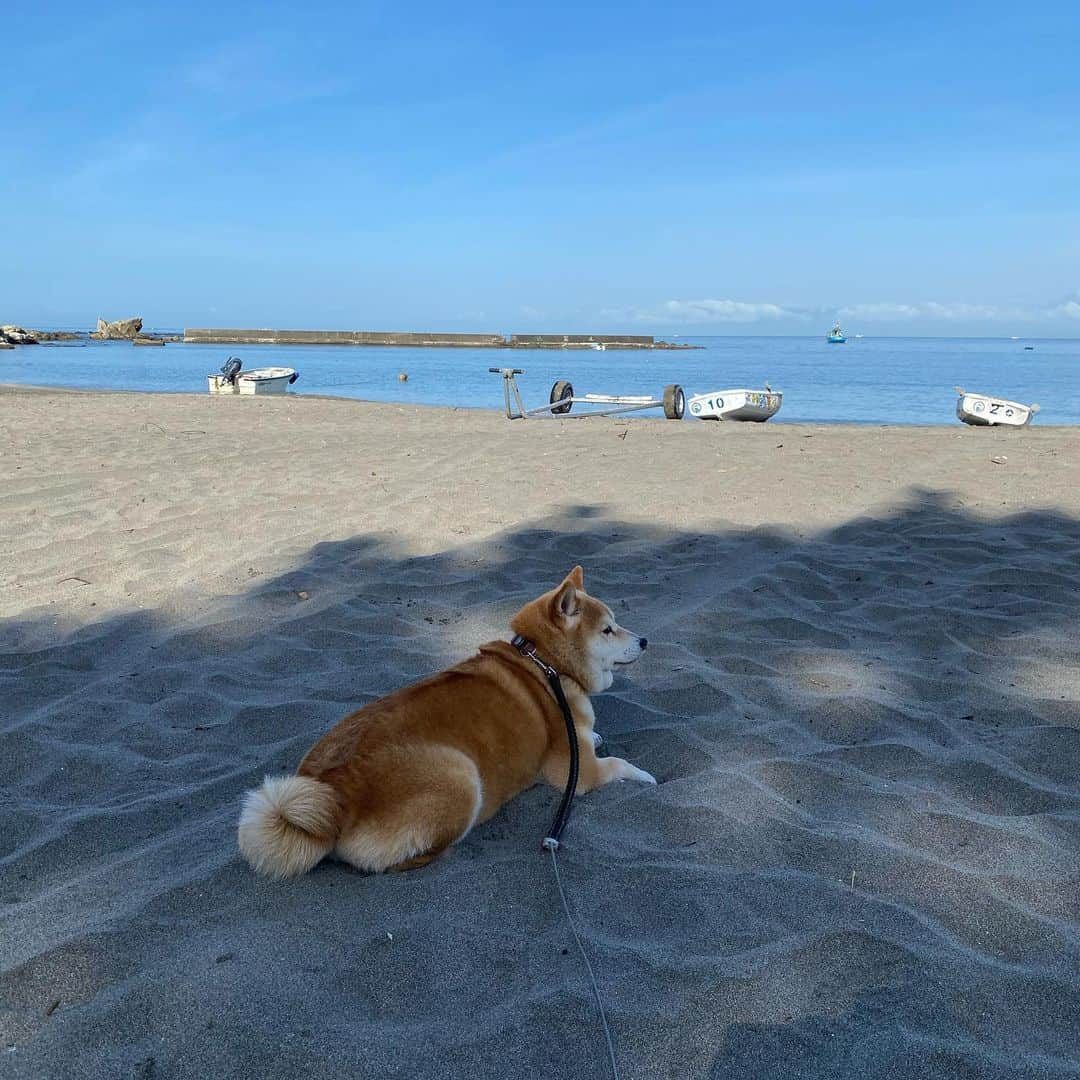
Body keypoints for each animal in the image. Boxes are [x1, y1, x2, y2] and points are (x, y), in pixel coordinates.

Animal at [239, 565, 652, 876]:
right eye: (608, 629)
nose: (646, 640)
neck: (544, 664)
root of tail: (334, 794)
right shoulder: (577, 774)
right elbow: (619, 764)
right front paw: (645, 776)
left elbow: (594, 740)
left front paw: (596, 737)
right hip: (461, 774)